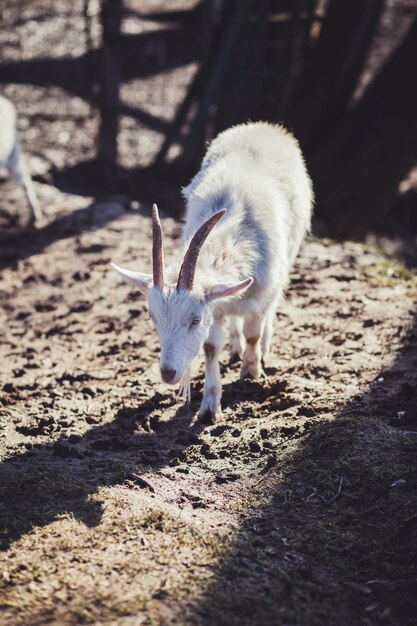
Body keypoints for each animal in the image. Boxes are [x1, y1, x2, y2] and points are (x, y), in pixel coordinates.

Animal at [110, 119, 312, 416]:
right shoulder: (214, 308)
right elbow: (210, 348)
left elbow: (253, 332)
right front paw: (209, 405)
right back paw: (235, 346)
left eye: (194, 320)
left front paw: (251, 371)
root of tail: (264, 126)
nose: (168, 373)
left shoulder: (261, 293)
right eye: (152, 317)